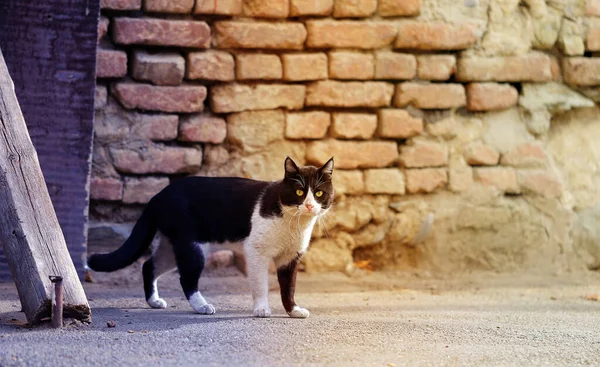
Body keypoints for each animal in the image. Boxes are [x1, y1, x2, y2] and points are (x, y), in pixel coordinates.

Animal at [86, 157, 336, 320]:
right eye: (299, 192)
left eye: (319, 193)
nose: (310, 205)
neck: (294, 224)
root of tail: (159, 195)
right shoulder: (256, 251)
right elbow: (260, 284)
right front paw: (261, 309)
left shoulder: (290, 257)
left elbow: (289, 287)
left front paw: (293, 310)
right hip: (192, 247)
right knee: (186, 279)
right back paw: (202, 306)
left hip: (173, 245)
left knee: (149, 265)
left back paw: (154, 301)